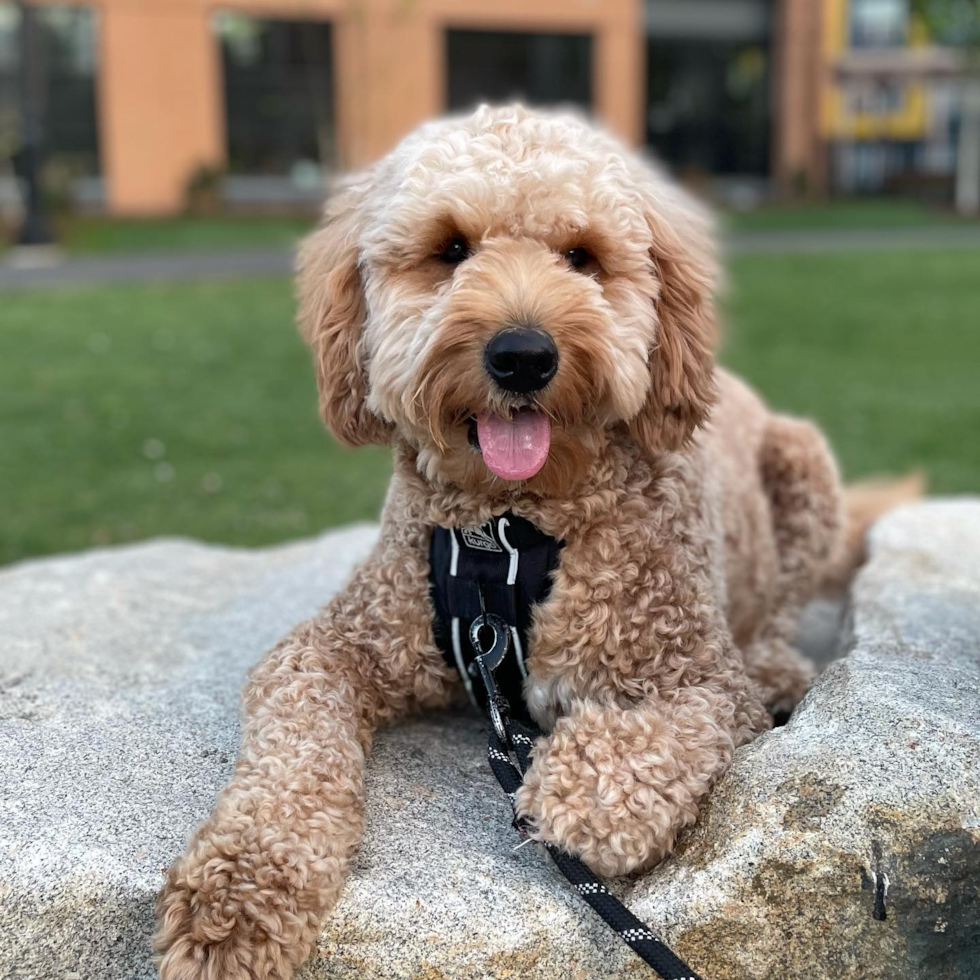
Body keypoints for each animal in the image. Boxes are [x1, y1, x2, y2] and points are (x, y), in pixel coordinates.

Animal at [151, 107, 848, 980]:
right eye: (451, 248)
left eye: (582, 255)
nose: (523, 355)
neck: (510, 530)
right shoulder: (337, 642)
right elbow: (293, 745)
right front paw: (237, 894)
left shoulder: (701, 679)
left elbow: (666, 735)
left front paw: (576, 799)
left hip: (804, 463)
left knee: (784, 610)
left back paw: (779, 663)